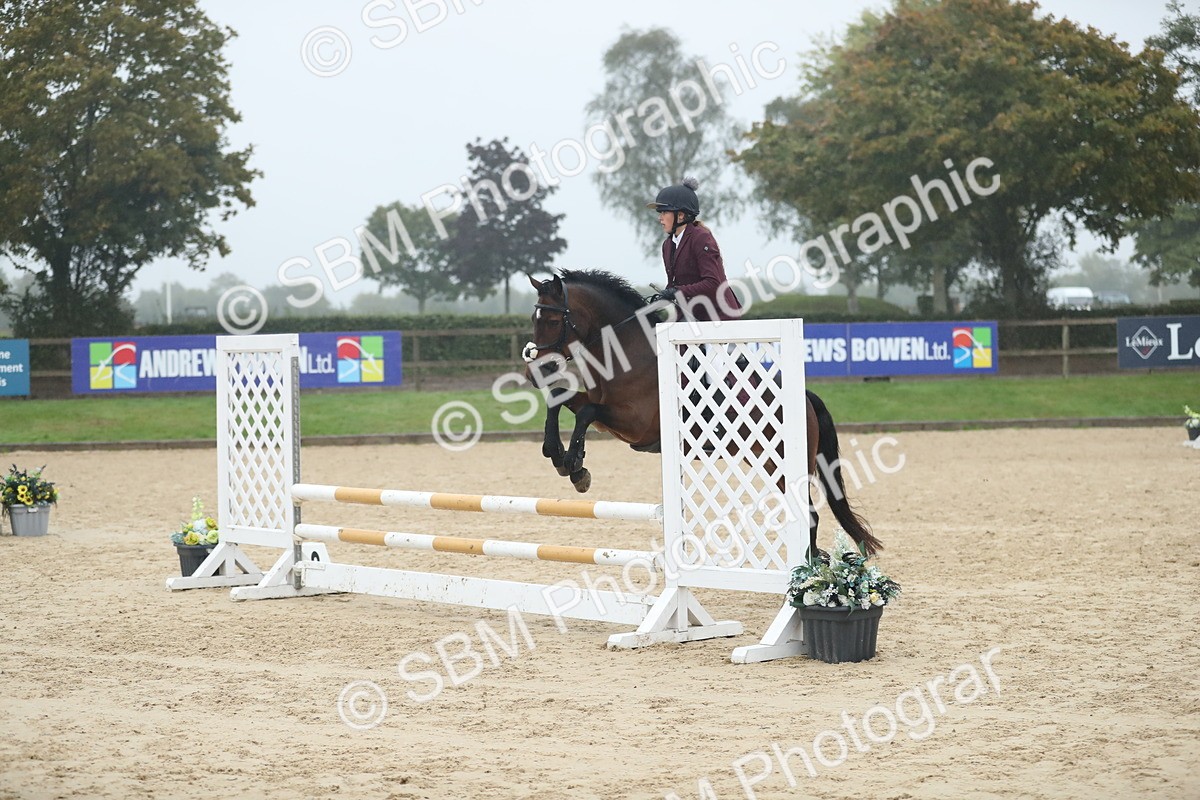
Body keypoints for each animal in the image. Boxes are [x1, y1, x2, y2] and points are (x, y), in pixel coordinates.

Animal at [523, 268, 883, 557]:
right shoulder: (605, 416)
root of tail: (805, 397)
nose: (534, 373)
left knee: (810, 515)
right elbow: (559, 399)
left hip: (786, 465)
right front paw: (556, 453)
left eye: (553, 321)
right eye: (533, 321)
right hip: (767, 462)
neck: (626, 352)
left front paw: (575, 466)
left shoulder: (635, 423)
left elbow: (584, 413)